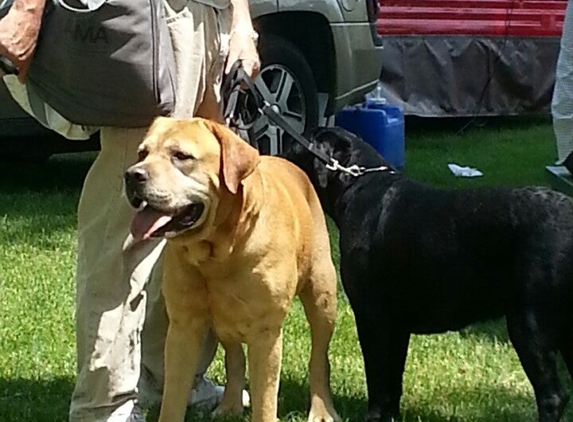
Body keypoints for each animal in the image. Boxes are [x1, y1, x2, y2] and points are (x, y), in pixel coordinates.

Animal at [125, 116, 340, 422]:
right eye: (142, 153)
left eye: (181, 156)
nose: (132, 175)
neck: (219, 253)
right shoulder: (183, 326)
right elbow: (173, 397)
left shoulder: (266, 333)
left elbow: (265, 402)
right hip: (224, 321)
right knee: (234, 356)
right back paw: (229, 404)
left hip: (323, 295)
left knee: (319, 357)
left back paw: (322, 409)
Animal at [284, 128, 572, 422]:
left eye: (293, 145)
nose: (278, 153)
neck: (358, 185)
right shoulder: (398, 325)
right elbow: (393, 379)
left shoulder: (371, 315)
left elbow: (377, 377)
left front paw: (374, 417)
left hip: (529, 325)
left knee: (552, 396)